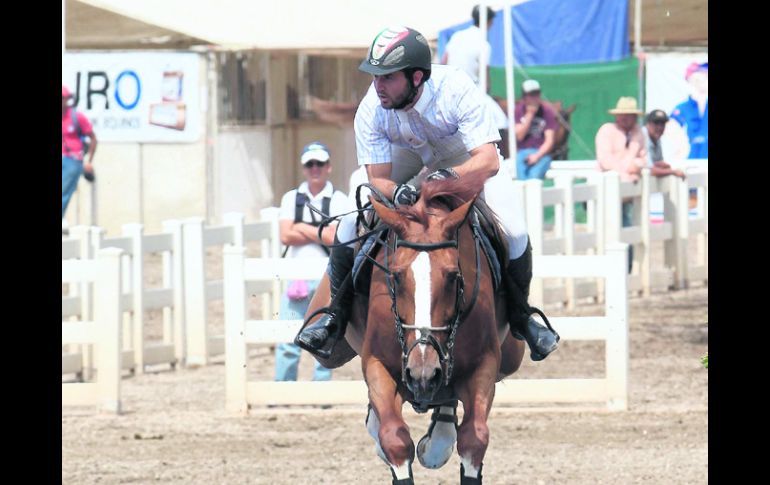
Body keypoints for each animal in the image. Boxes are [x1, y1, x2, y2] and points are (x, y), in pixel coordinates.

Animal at [298, 172, 520, 482]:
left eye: (453, 276)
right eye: (396, 276)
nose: (422, 373)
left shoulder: (484, 364)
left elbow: (474, 439)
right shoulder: (377, 363)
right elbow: (394, 439)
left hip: (509, 357)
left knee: (448, 398)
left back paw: (438, 441)